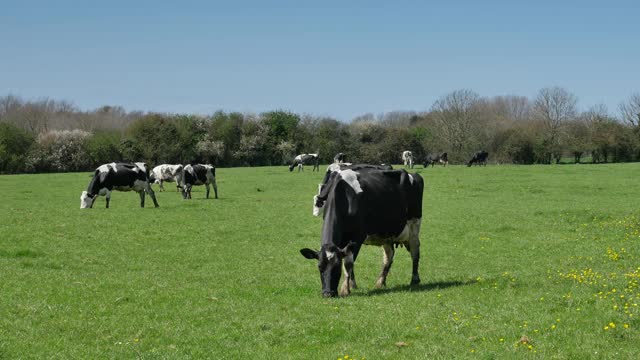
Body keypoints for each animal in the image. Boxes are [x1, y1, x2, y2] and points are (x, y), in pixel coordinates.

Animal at [302, 167, 424, 296]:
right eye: (320, 267)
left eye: (336, 267)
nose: (328, 293)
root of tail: (412, 174)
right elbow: (349, 261)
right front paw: (352, 285)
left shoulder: (357, 237)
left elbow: (348, 263)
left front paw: (345, 289)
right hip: (387, 234)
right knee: (389, 256)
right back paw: (380, 282)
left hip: (414, 226)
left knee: (415, 252)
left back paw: (414, 279)